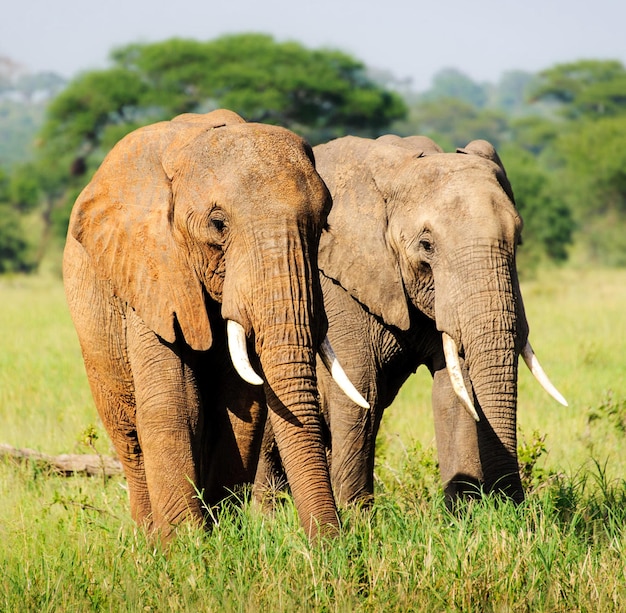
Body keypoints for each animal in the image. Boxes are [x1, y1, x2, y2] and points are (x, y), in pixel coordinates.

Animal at [62, 111, 366, 540]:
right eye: (218, 224)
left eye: (322, 225)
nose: (333, 544)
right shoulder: (152, 270)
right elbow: (174, 403)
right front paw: (186, 545)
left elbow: (241, 406)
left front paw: (222, 534)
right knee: (128, 433)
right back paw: (147, 539)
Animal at [251, 133, 564, 506]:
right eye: (426, 245)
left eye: (517, 239)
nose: (513, 505)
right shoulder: (333, 285)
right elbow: (360, 390)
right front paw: (357, 518)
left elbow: (454, 390)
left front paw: (466, 514)